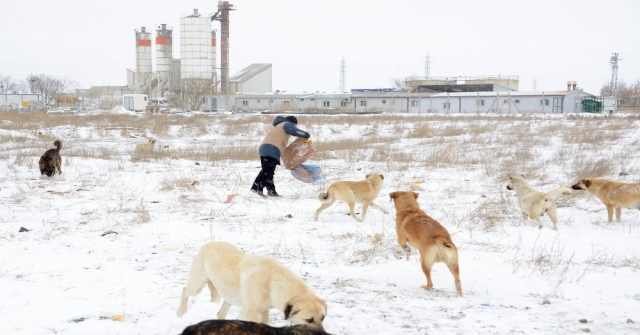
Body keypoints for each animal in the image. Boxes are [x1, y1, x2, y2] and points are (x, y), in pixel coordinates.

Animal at [175, 242, 324, 330]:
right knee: (184, 290)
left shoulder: (264, 311)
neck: (272, 281)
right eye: (309, 320)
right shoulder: (249, 312)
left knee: (220, 314)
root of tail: (208, 243)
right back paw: (180, 311)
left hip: (230, 296)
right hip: (197, 287)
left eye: (322, 318)